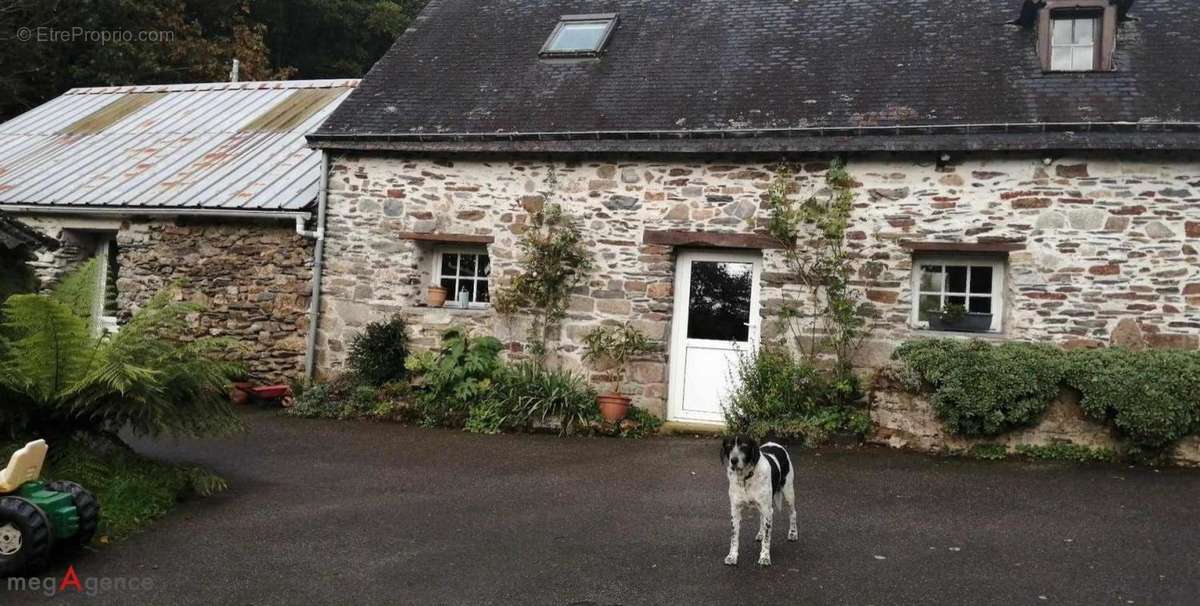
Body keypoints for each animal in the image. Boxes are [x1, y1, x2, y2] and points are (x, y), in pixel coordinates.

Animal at [720, 434, 796, 566]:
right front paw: (732, 556)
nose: (734, 460)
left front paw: (765, 557)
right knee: (761, 519)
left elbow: (767, 538)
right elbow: (734, 537)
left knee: (793, 513)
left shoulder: (768, 510)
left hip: (788, 493)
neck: (745, 478)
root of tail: (774, 444)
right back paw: (760, 533)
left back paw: (793, 533)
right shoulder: (735, 511)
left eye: (744, 446)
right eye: (729, 445)